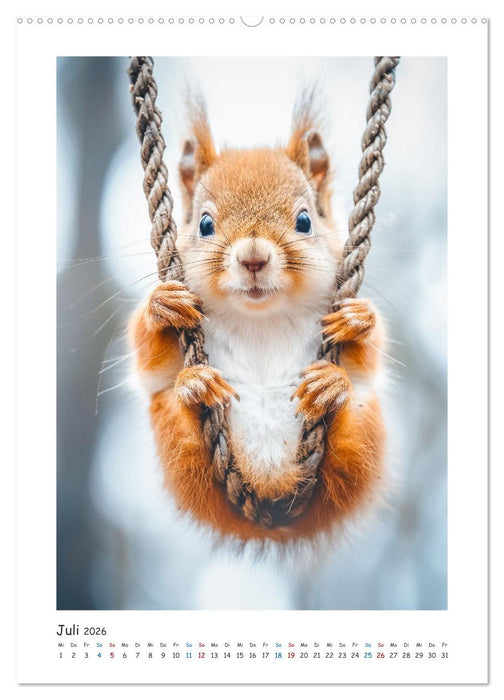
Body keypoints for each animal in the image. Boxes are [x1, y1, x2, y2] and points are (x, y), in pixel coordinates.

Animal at [129, 98, 387, 546]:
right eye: (205, 224)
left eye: (305, 221)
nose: (253, 258)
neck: (260, 319)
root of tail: (273, 509)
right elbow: (148, 357)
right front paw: (162, 304)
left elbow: (369, 356)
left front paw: (358, 319)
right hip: (176, 444)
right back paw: (194, 388)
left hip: (362, 434)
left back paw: (332, 388)